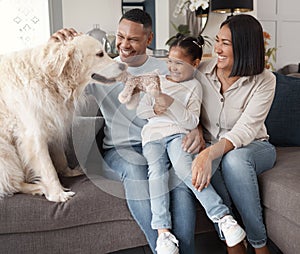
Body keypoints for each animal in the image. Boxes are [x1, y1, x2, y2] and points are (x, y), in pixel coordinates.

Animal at [0, 34, 126, 202]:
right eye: (100, 54)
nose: (124, 66)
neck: (51, 79)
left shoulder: (54, 124)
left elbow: (60, 157)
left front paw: (68, 172)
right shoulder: (34, 135)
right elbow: (48, 168)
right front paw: (57, 193)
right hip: (6, 153)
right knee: (11, 184)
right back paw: (37, 187)